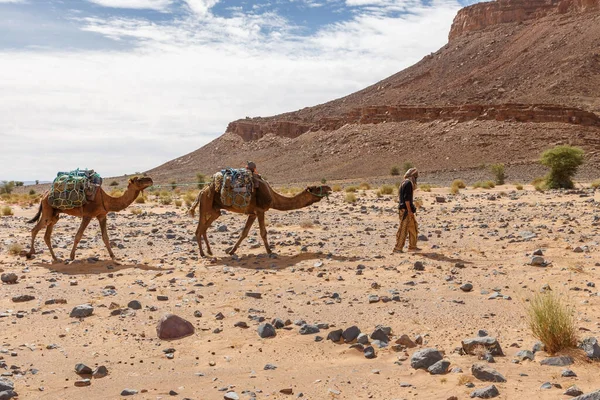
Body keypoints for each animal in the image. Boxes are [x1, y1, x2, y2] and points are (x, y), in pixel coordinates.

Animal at [26, 176, 154, 262]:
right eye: (139, 179)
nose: (150, 180)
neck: (106, 200)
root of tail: (44, 195)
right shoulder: (87, 215)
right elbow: (78, 236)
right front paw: (71, 256)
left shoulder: (102, 215)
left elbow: (105, 237)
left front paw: (113, 256)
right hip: (47, 212)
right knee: (34, 229)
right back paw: (30, 253)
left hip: (54, 215)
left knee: (46, 235)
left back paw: (55, 258)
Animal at [188, 177, 330, 258]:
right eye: (316, 187)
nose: (328, 187)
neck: (273, 197)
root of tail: (202, 191)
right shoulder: (260, 210)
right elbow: (263, 232)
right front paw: (270, 251)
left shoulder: (252, 213)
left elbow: (244, 233)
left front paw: (231, 251)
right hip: (205, 204)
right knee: (198, 230)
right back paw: (202, 253)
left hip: (215, 210)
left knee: (204, 228)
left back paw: (209, 251)